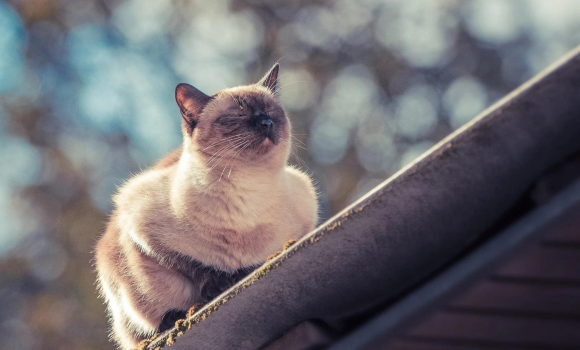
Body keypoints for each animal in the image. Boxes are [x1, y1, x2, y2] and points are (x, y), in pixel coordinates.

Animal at [97, 64, 320, 348]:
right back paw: (171, 318)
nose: (266, 123)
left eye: (271, 111)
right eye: (239, 114)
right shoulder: (141, 225)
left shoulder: (306, 210)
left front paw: (243, 270)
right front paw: (221, 282)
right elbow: (193, 265)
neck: (246, 190)